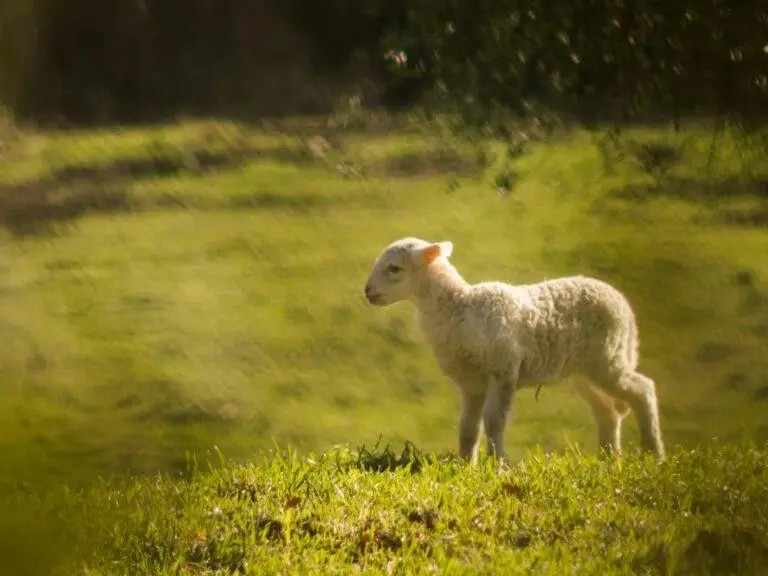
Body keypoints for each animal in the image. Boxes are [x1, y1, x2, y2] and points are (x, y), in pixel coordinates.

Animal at [364, 237, 664, 464]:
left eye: (394, 268)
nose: (367, 292)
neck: (458, 306)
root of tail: (622, 303)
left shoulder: (504, 369)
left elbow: (494, 420)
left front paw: (495, 465)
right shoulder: (471, 381)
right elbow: (468, 427)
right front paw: (465, 465)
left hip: (608, 356)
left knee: (643, 390)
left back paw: (653, 454)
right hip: (584, 369)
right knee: (607, 411)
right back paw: (607, 460)